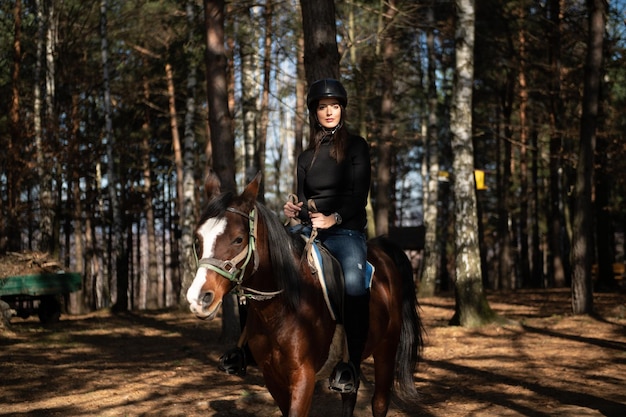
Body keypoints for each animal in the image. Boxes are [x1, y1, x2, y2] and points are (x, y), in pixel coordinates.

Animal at [183, 171, 422, 414]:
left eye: (238, 239)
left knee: (380, 402)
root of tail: (382, 250)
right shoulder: (272, 377)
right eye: (198, 239)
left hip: (386, 350)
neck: (283, 308)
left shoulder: (303, 376)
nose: (199, 299)